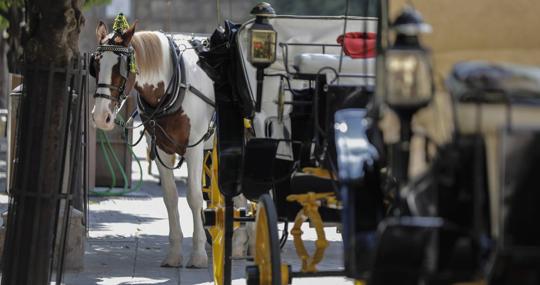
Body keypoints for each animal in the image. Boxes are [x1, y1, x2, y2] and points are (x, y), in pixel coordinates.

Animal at [89, 21, 249, 268]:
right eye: (96, 65)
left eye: (120, 68)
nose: (100, 117)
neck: (175, 81)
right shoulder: (161, 149)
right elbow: (170, 198)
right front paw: (174, 254)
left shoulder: (194, 148)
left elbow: (193, 197)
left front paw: (198, 255)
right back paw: (240, 244)